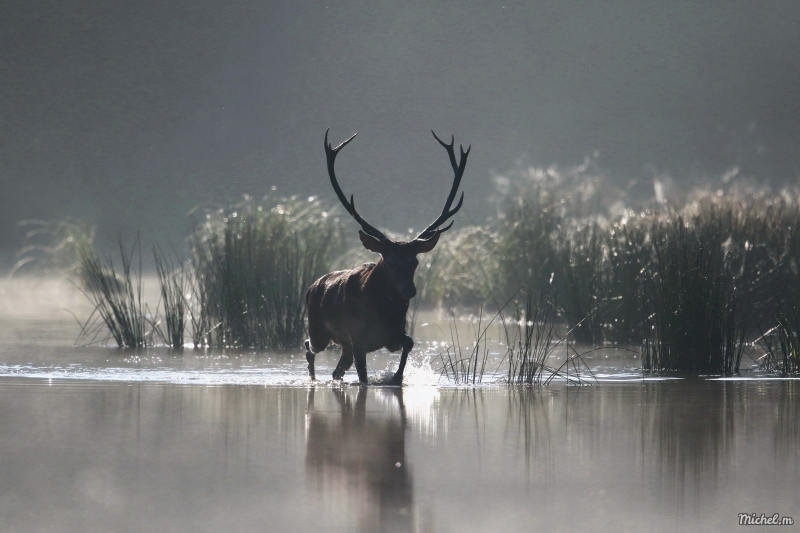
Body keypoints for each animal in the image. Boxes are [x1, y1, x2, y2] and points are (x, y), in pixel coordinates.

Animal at [304, 130, 468, 384]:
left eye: (415, 262)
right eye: (390, 262)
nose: (409, 290)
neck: (382, 314)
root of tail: (312, 286)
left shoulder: (393, 334)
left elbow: (409, 343)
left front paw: (396, 377)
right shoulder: (358, 339)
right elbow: (363, 377)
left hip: (342, 344)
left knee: (336, 370)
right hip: (319, 331)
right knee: (307, 347)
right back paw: (311, 378)